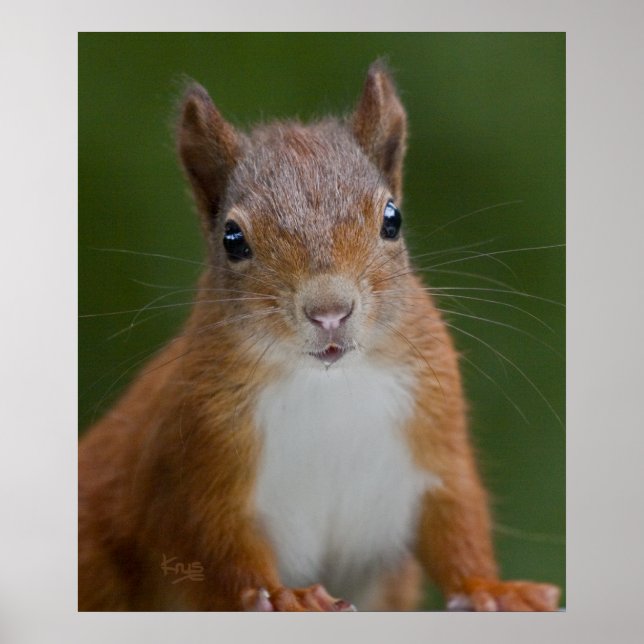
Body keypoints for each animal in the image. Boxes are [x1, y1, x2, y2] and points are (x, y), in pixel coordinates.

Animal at [78, 61, 560, 612]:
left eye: (392, 218)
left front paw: (491, 589)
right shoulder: (198, 462)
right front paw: (285, 596)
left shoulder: (435, 435)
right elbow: (219, 546)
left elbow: (456, 518)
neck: (329, 385)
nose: (329, 311)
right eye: (233, 239)